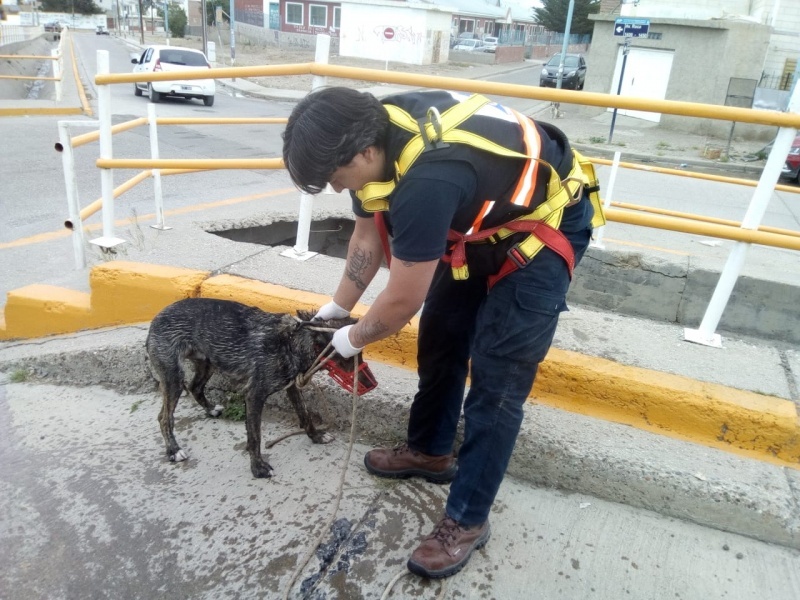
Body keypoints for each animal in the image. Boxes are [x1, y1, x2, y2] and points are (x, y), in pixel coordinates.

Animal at [145, 298, 374, 478]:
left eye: (361, 354)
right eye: (348, 358)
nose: (371, 384)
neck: (292, 342)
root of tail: (154, 320)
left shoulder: (292, 386)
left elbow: (305, 414)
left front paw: (316, 436)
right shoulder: (254, 396)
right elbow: (255, 437)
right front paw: (258, 468)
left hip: (207, 363)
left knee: (195, 387)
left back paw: (210, 410)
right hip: (173, 378)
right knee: (164, 417)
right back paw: (174, 450)